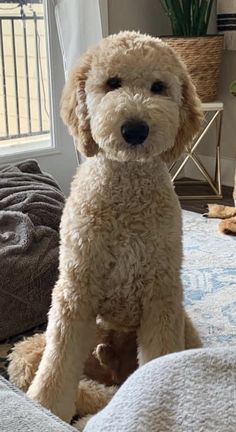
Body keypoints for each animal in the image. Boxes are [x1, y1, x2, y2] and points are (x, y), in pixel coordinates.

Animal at [10, 32, 202, 424]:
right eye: (112, 83)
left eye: (158, 87)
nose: (135, 129)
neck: (126, 186)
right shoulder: (75, 291)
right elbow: (57, 364)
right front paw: (46, 408)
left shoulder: (161, 295)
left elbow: (158, 360)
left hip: (182, 325)